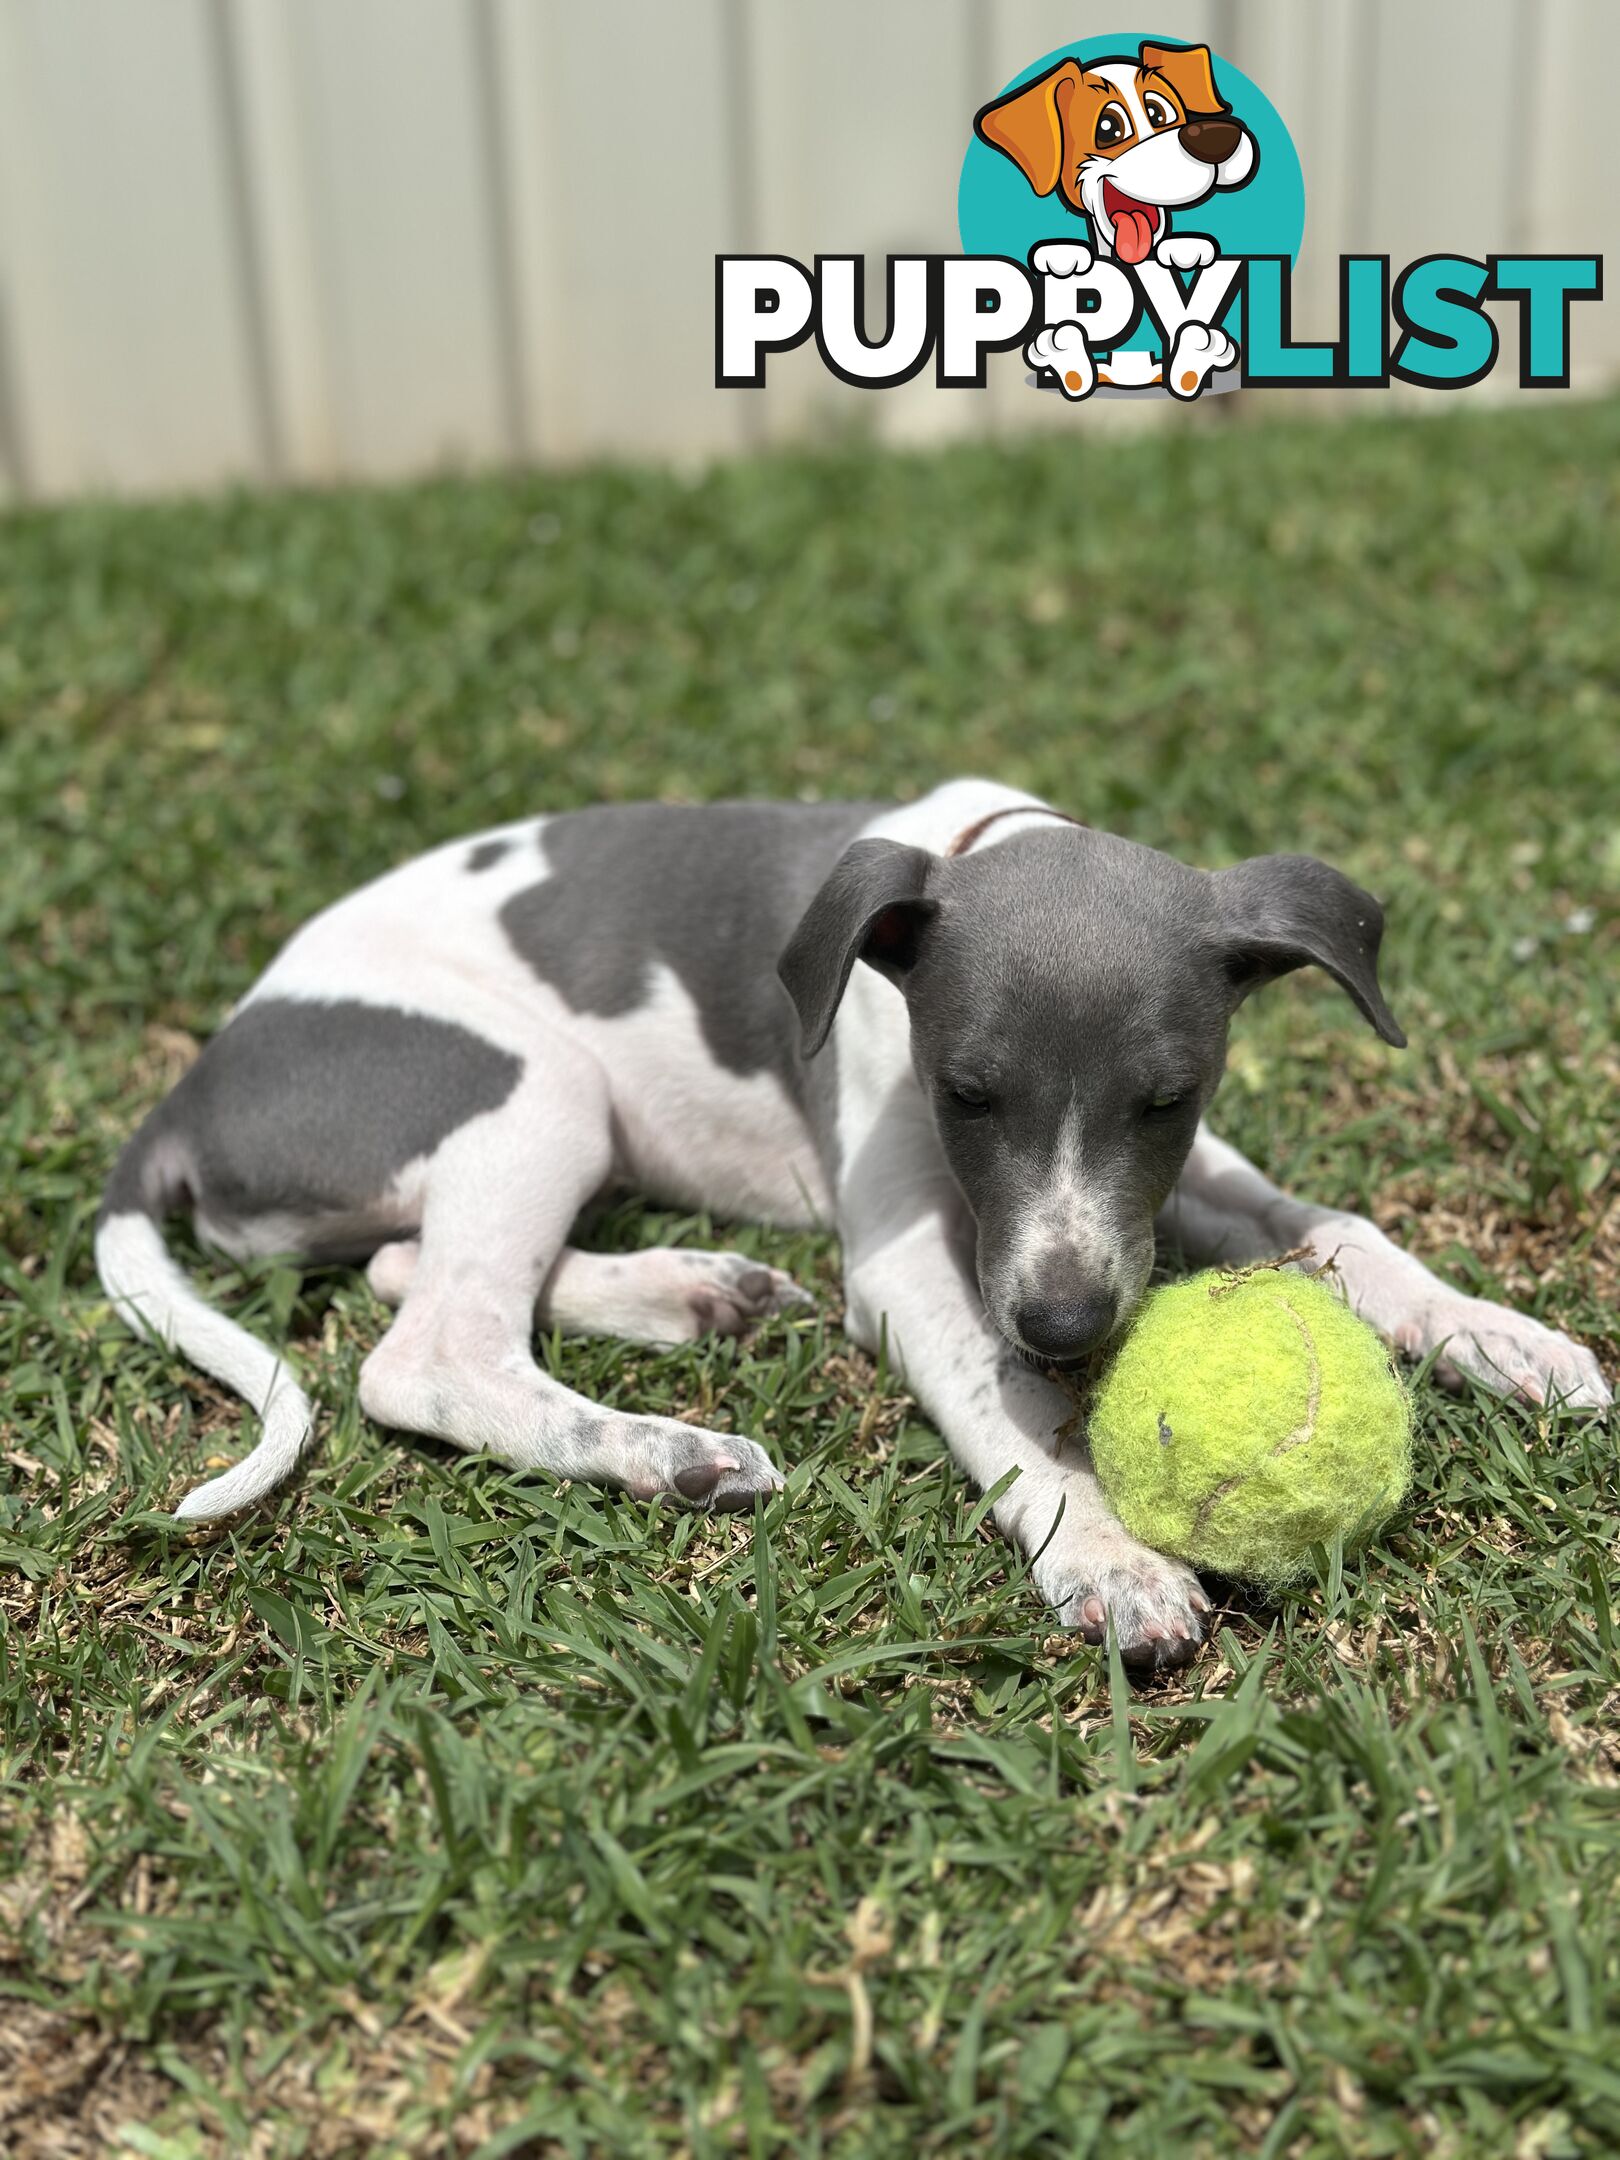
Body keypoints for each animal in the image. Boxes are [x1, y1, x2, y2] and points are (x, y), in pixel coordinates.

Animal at [101, 777, 1615, 1667]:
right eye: (966, 1094)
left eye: (1168, 1098)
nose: (1067, 1323)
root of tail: (192, 1090)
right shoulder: (912, 1264)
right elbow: (1008, 1413)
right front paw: (1110, 1556)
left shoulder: (1171, 1186)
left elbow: (1342, 1226)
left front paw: (1499, 1335)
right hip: (535, 1086)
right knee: (427, 1351)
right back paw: (672, 1455)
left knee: (405, 1265)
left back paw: (692, 1296)